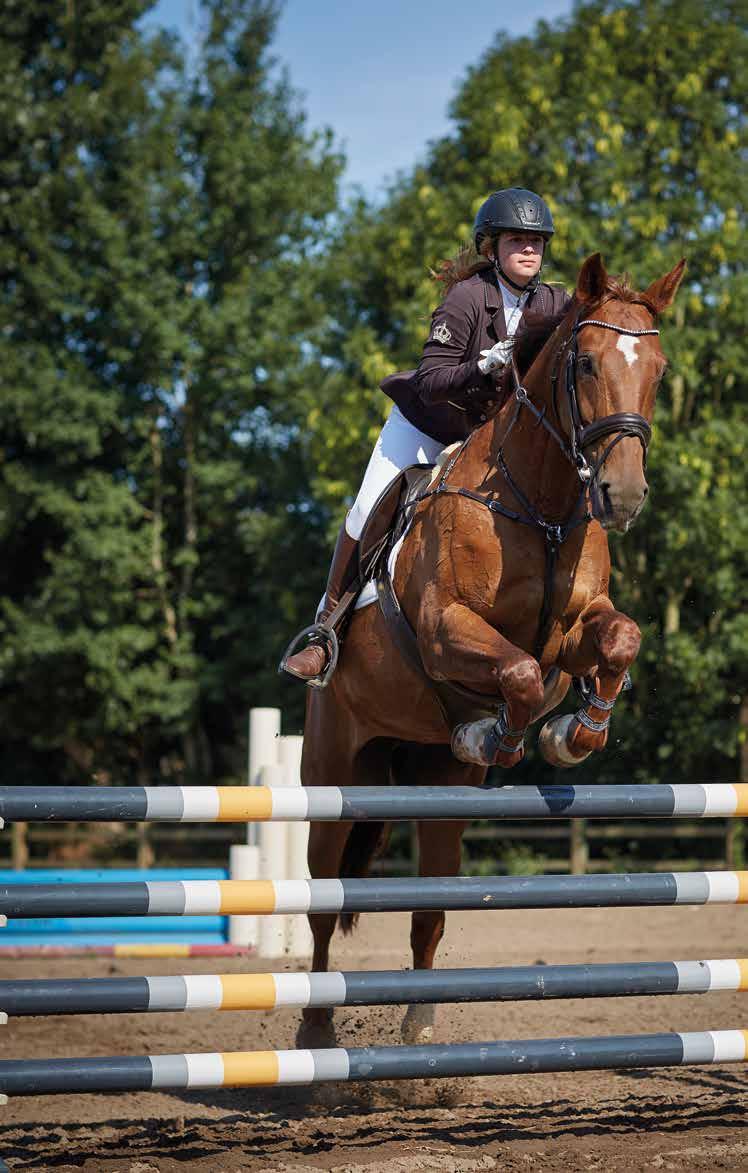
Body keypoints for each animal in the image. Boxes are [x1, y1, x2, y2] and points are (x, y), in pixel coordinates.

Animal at [297, 252, 684, 1051]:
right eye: (587, 362)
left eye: (659, 371)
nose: (623, 496)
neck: (542, 504)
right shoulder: (446, 630)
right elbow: (520, 670)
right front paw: (503, 733)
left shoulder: (576, 631)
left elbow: (615, 640)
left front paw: (574, 733)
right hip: (334, 772)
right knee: (323, 899)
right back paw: (317, 1030)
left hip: (438, 788)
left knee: (430, 907)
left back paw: (419, 1024)